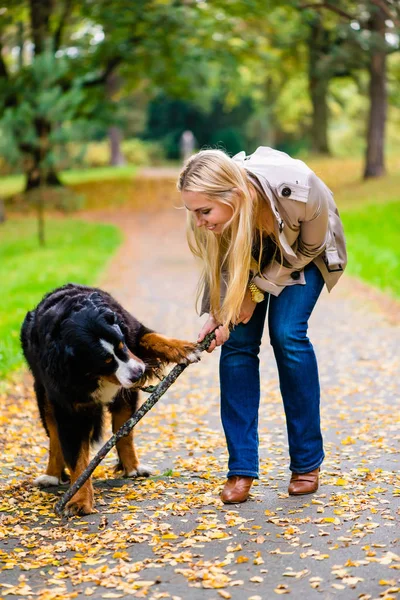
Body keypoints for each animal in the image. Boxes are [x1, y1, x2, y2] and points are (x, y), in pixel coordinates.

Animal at [21, 284, 199, 516]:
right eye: (104, 361)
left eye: (122, 346)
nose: (138, 373)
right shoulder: (68, 409)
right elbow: (77, 460)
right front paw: (80, 500)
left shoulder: (130, 333)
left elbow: (151, 337)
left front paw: (184, 348)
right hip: (44, 397)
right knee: (54, 436)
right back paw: (51, 475)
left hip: (125, 400)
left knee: (124, 434)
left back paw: (133, 468)